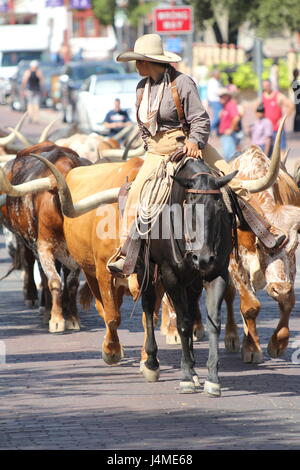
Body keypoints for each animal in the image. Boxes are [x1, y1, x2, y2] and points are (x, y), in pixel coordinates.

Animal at [137, 159, 238, 396]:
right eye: (190, 206)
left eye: (219, 208)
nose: (203, 258)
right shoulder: (170, 275)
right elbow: (182, 324)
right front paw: (184, 378)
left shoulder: (217, 273)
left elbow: (213, 322)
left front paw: (212, 378)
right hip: (145, 268)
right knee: (148, 306)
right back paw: (152, 363)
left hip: (192, 282)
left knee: (191, 311)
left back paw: (193, 369)